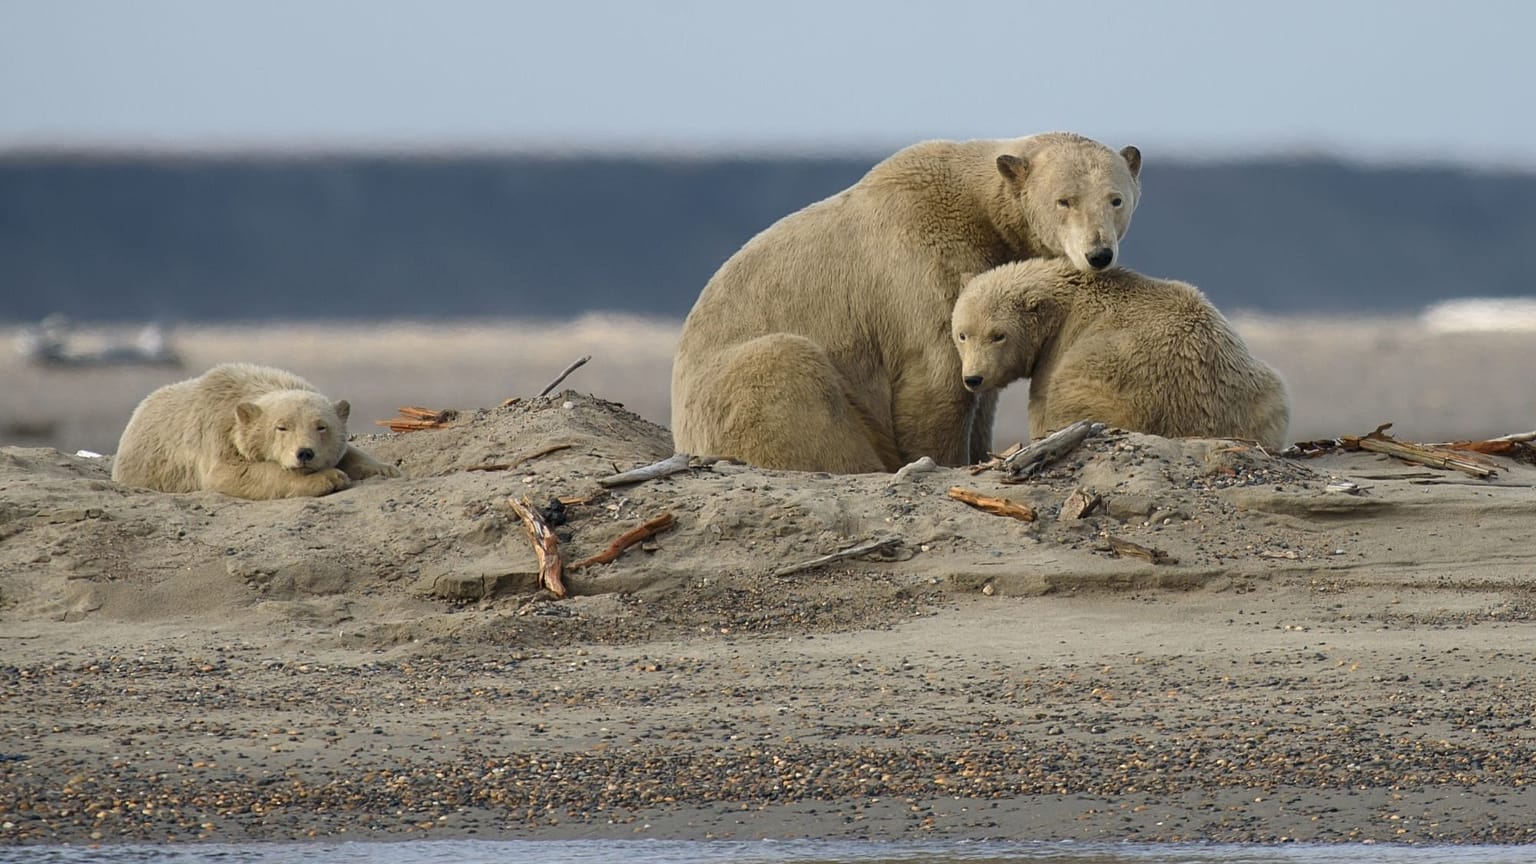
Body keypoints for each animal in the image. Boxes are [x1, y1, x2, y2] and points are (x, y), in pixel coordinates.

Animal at [111, 362, 403, 500]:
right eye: (281, 427)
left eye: (321, 426)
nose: (304, 453)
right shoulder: (216, 434)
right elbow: (232, 474)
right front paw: (329, 478)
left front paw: (384, 469)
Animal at [670, 132, 1142, 473]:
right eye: (1065, 201)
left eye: (1116, 199)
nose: (1099, 253)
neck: (979, 210)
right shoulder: (920, 271)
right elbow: (938, 379)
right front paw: (944, 459)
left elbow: (985, 382)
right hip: (731, 389)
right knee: (787, 372)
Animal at [951, 259, 1291, 451]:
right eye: (963, 334)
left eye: (998, 335)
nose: (973, 378)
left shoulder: (1059, 351)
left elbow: (1042, 405)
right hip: (1260, 390)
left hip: (1113, 373)